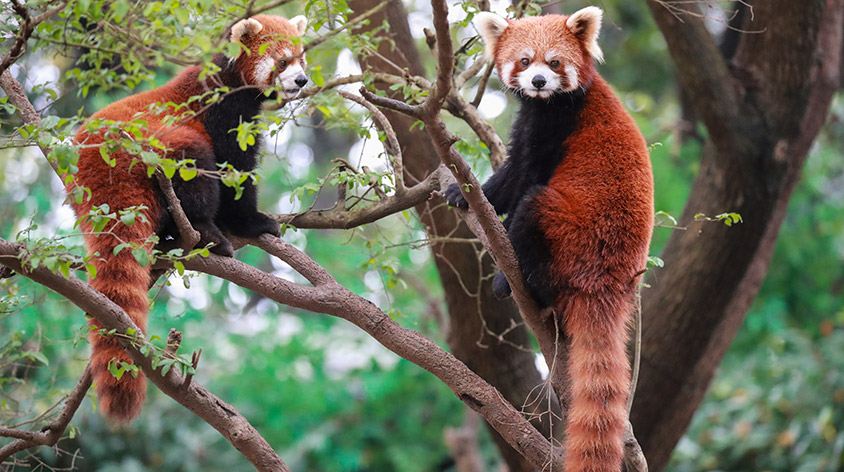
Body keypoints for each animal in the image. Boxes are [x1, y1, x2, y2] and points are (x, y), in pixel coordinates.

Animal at [71, 14, 310, 422]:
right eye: (282, 62)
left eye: (301, 58)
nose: (301, 81)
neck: (230, 77)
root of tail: (99, 170)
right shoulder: (220, 109)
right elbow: (233, 169)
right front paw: (253, 222)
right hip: (162, 146)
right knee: (193, 164)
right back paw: (207, 234)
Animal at [448, 7, 652, 472]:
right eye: (525, 61)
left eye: (554, 63)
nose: (539, 81)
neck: (548, 103)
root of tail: (608, 283)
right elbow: (512, 170)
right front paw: (462, 193)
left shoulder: (556, 126)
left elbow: (525, 177)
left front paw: (488, 206)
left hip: (571, 232)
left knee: (533, 207)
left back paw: (516, 281)